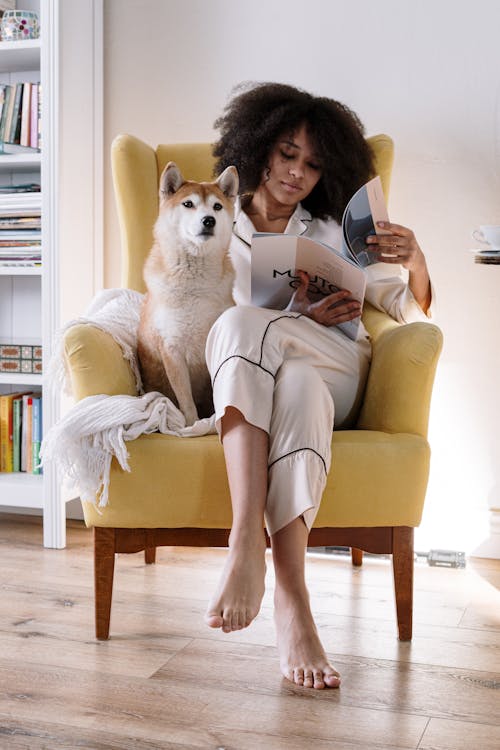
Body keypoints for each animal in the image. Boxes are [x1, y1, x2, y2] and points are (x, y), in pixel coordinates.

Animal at [137, 162, 238, 426]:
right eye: (188, 204)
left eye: (217, 206)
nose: (209, 220)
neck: (195, 286)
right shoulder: (172, 349)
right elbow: (186, 402)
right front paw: (194, 425)